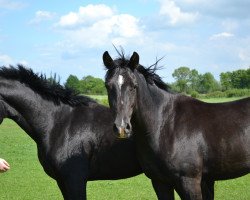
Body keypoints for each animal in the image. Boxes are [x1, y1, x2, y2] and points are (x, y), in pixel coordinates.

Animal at [103, 50, 250, 200]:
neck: (165, 125)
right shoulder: (160, 182)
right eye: (108, 86)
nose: (121, 128)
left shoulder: (189, 182)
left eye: (134, 86)